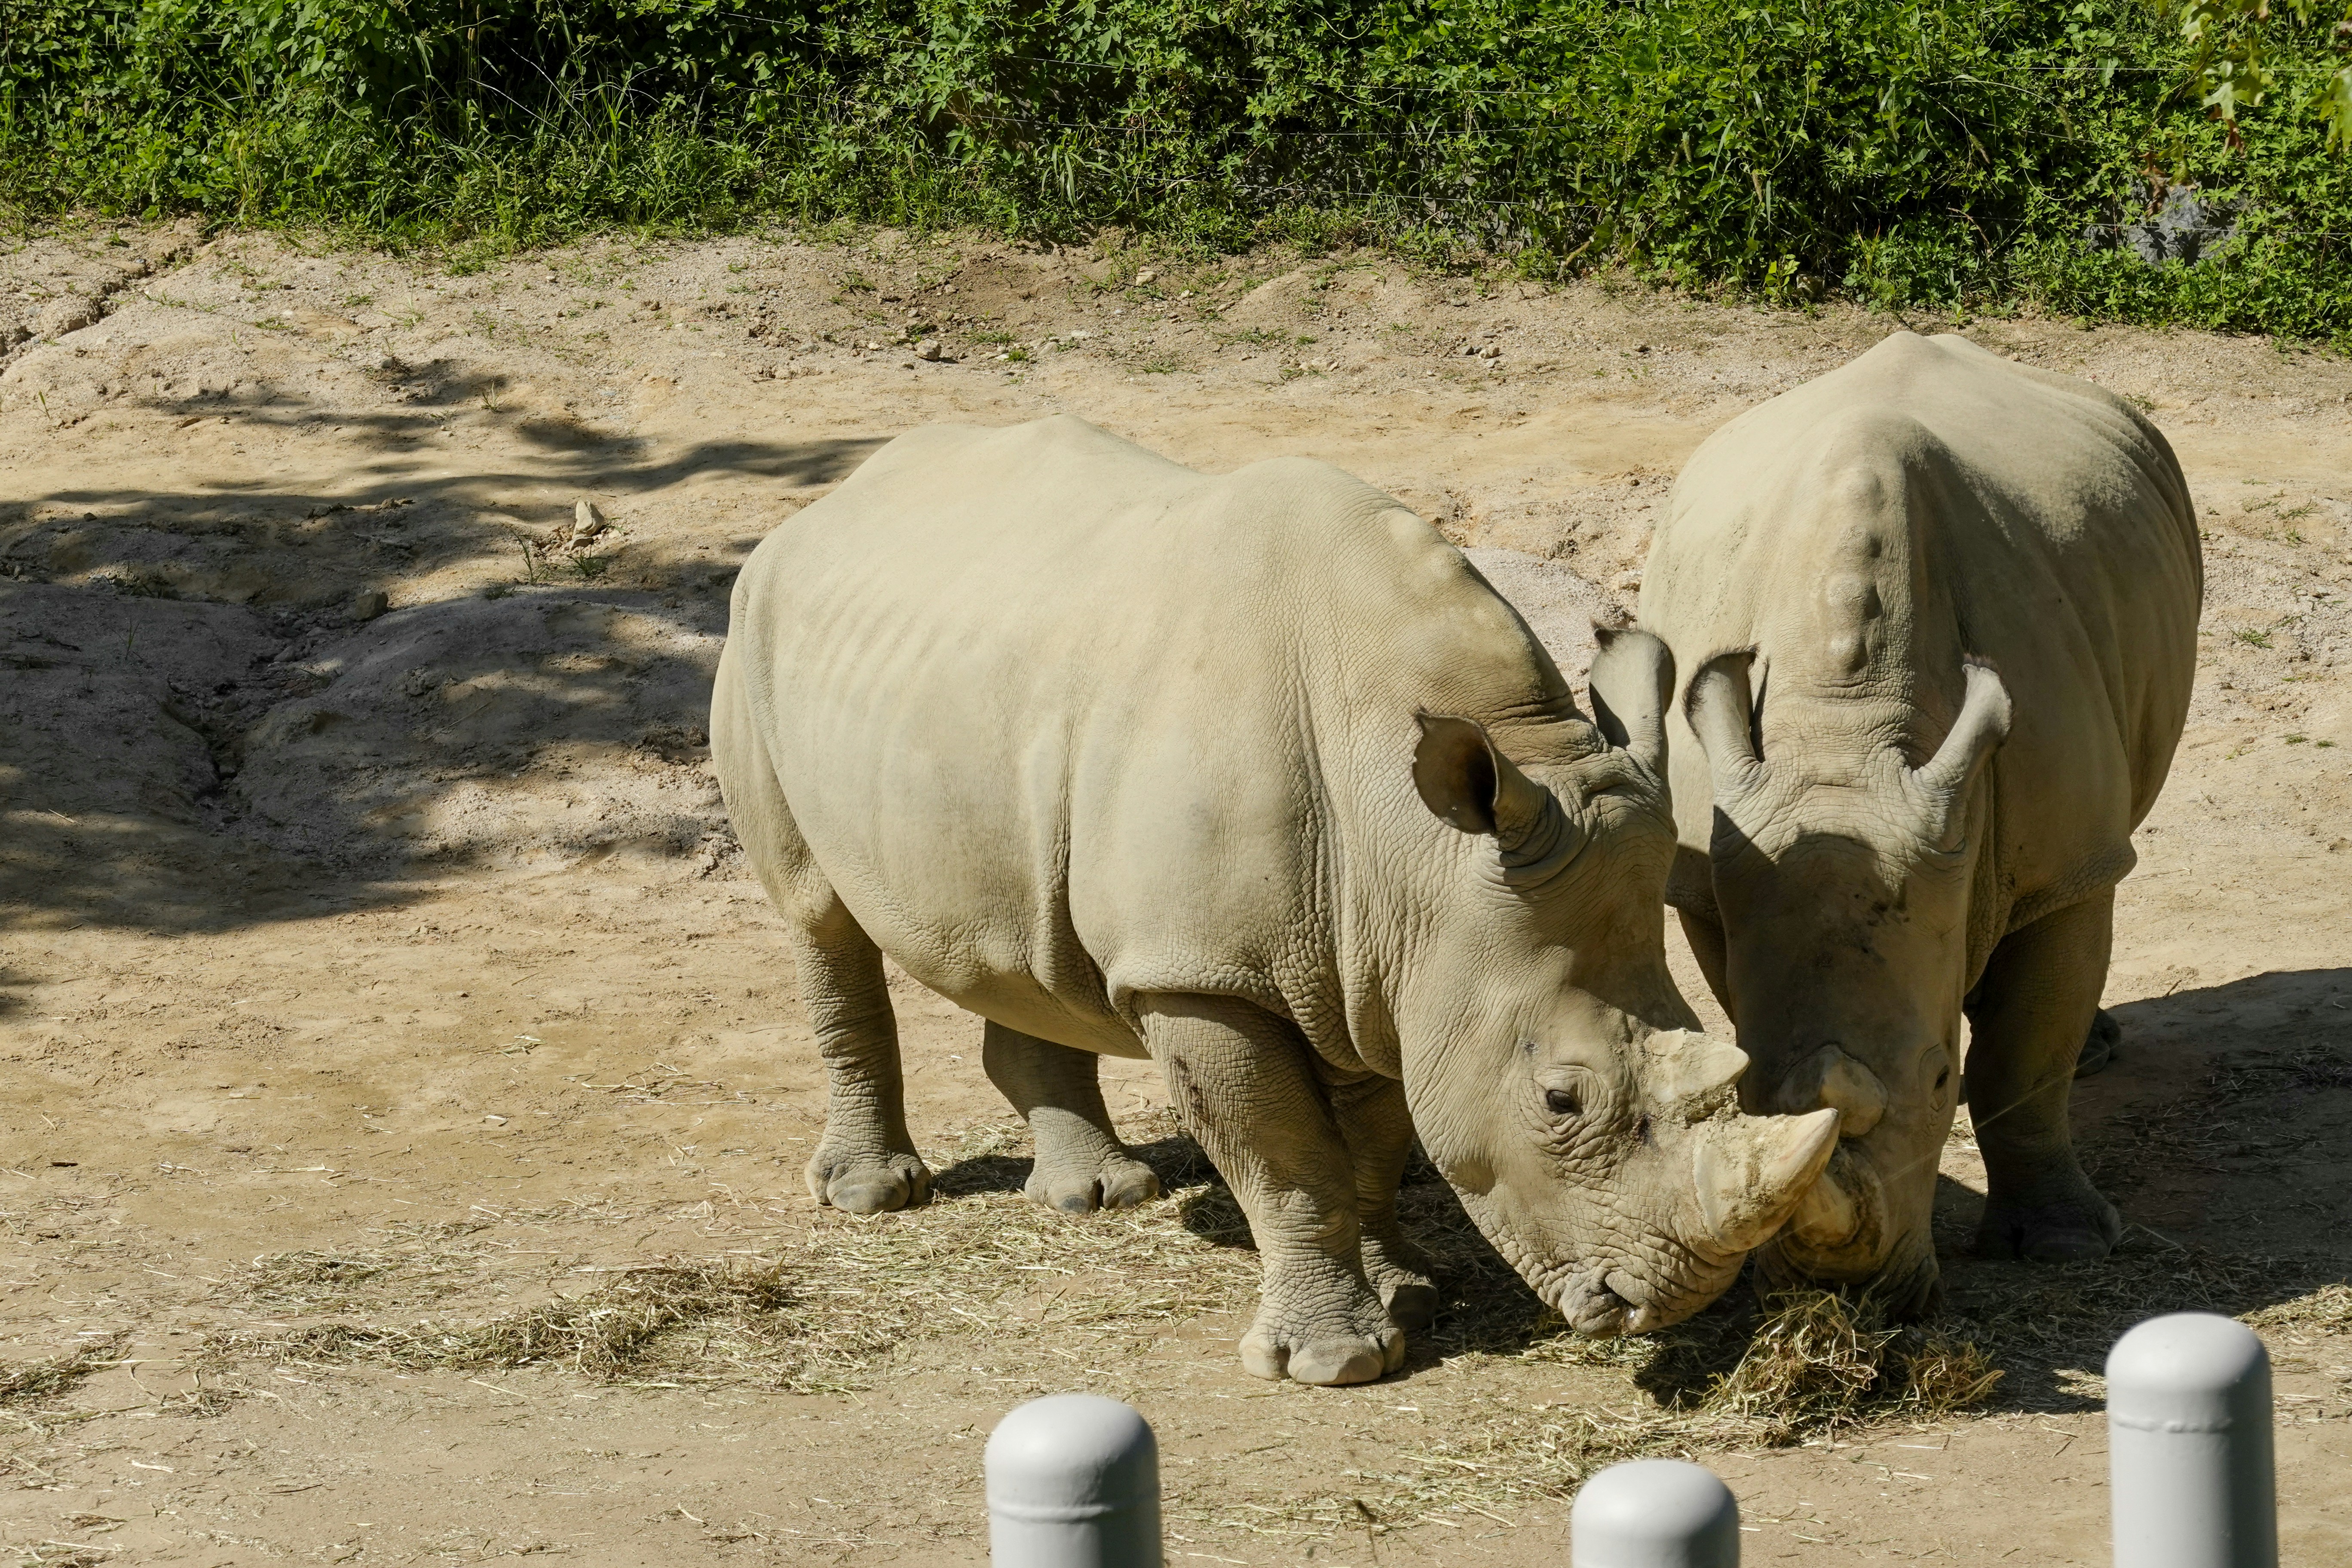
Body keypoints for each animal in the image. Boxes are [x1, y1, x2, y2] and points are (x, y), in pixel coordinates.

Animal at [711, 415, 1838, 1384]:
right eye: (1561, 1099)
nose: (1673, 1299)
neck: (1414, 842)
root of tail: (822, 509)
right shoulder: (1204, 975)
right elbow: (1286, 1156)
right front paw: (1334, 1362)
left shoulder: (1386, 955)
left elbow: (1375, 1141)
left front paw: (1408, 1293)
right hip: (754, 630)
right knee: (819, 918)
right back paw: (874, 1194)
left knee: (1031, 943)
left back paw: (1100, 1196)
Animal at [1635, 333, 2202, 1313]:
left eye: (1939, 1079)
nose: (1846, 1298)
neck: (1843, 734)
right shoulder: (1710, 872)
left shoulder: (2064, 863)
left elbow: (2023, 1055)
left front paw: (2063, 1247)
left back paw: (2095, 1054)